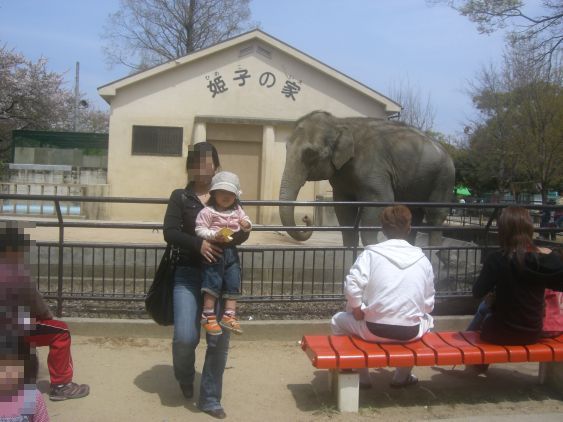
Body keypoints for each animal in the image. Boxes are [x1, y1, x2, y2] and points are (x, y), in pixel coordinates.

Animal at [280, 110, 456, 246]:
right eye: (286, 148)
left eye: (310, 153)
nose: (305, 218)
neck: (340, 122)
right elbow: (343, 209)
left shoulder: (374, 166)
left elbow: (381, 201)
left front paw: (372, 246)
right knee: (414, 214)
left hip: (444, 178)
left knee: (435, 215)